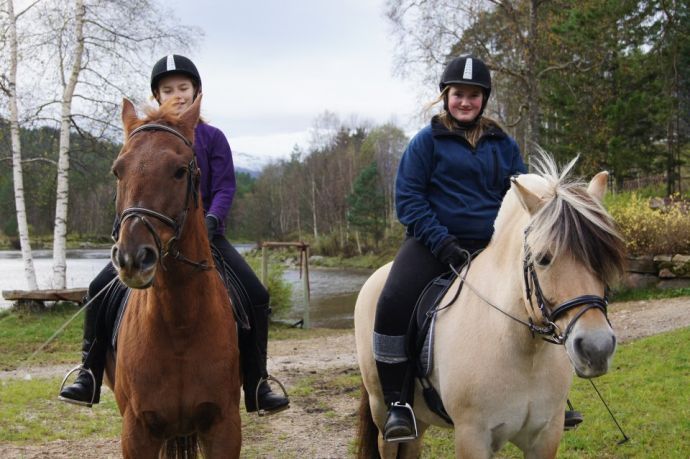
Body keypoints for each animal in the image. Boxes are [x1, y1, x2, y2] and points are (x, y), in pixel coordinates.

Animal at [103, 97, 241, 459]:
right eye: (117, 170)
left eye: (180, 171)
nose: (133, 258)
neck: (180, 323)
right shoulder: (137, 432)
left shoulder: (223, 427)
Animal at [352, 155, 628, 459]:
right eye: (543, 259)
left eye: (605, 258)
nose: (596, 348)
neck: (523, 349)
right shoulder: (473, 437)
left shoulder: (545, 435)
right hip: (382, 413)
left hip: (419, 422)